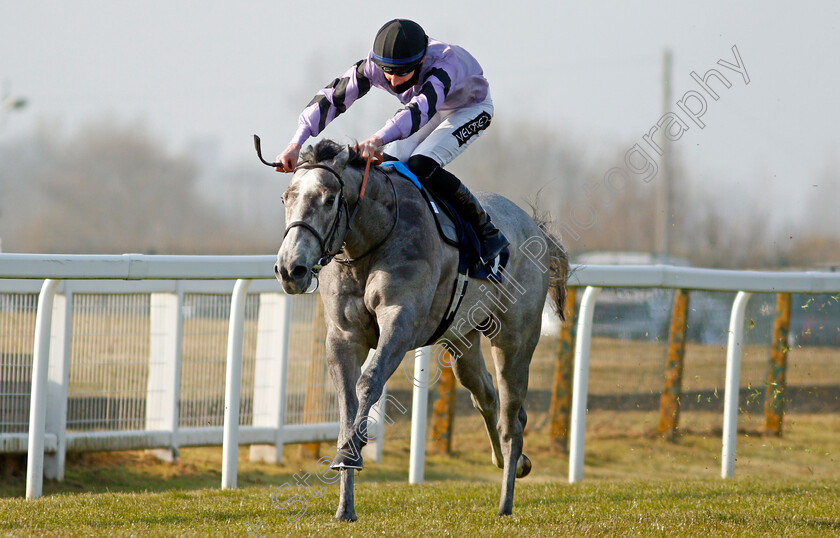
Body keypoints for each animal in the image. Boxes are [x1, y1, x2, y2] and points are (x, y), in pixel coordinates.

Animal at [272, 138, 568, 520]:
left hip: (514, 340)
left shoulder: (400, 325)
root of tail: (534, 228)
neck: (373, 238)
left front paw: (350, 454)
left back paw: (505, 502)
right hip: (463, 341)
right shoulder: (343, 337)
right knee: (485, 395)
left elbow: (368, 383)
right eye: (286, 198)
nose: (290, 269)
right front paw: (344, 506)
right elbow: (348, 404)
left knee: (511, 418)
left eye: (328, 199)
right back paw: (512, 462)